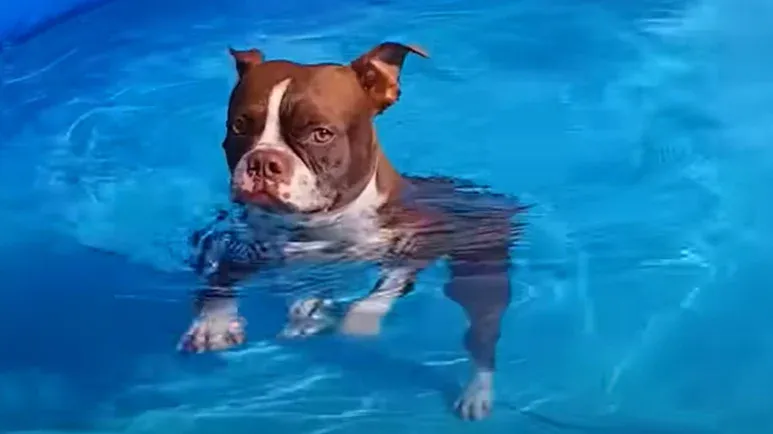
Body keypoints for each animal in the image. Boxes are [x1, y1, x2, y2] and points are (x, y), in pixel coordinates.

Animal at [176, 41, 524, 420]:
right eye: (240, 126)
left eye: (321, 134)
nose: (263, 161)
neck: (317, 223)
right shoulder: (244, 245)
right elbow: (221, 275)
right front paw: (213, 323)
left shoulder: (416, 242)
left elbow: (380, 291)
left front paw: (357, 322)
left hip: (479, 274)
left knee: (483, 334)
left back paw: (477, 392)